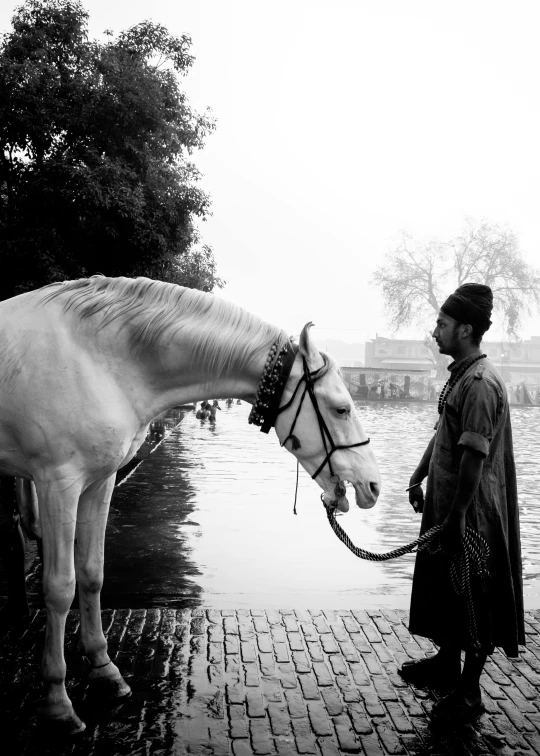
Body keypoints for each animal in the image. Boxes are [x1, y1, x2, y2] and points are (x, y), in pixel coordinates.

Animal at [0, 276, 380, 732]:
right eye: (341, 408)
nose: (373, 485)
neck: (98, 359)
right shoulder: (59, 482)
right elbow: (59, 588)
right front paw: (57, 700)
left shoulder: (99, 480)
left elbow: (91, 574)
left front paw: (104, 668)